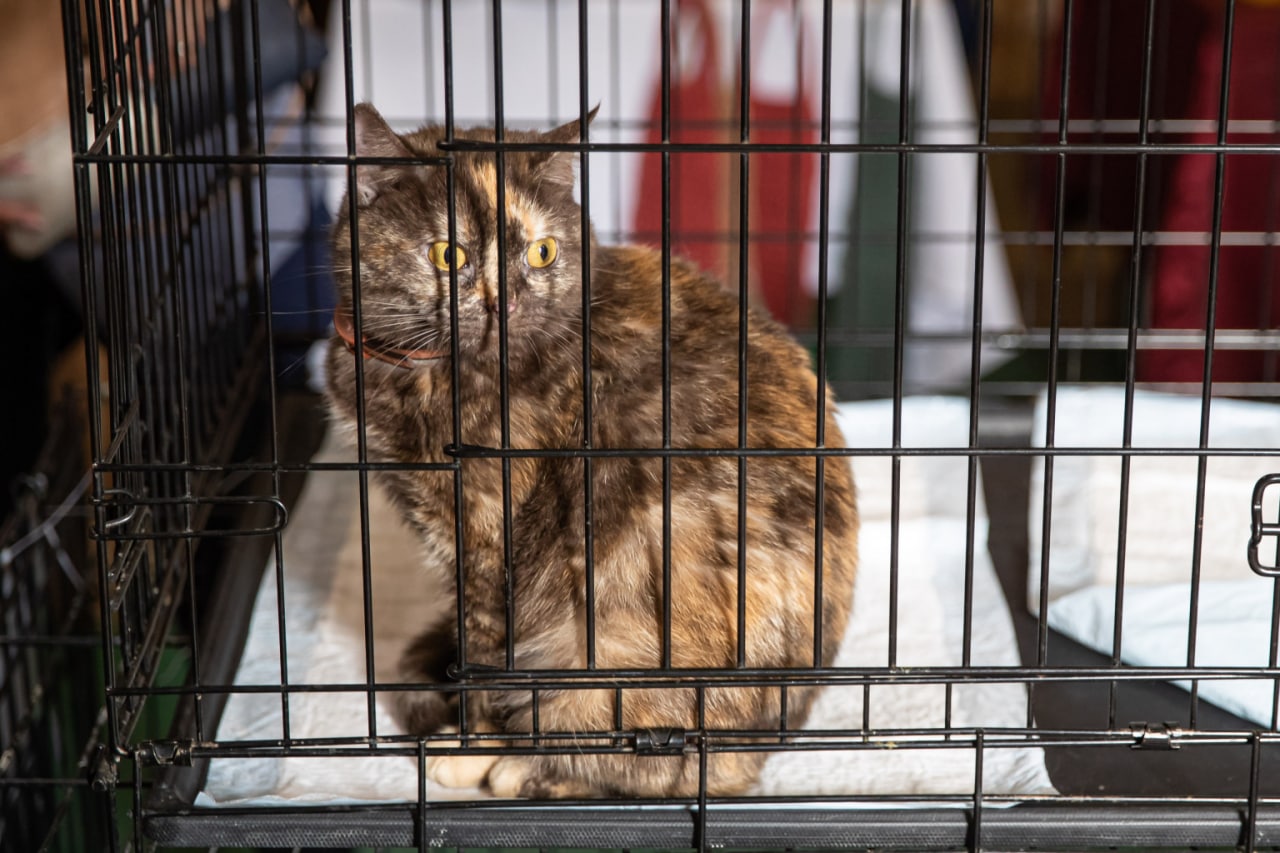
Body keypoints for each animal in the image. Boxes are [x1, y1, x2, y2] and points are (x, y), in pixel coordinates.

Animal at [324, 102, 858, 798]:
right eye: (448, 254)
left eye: (543, 251)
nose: (507, 300)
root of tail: (773, 738)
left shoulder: (487, 543)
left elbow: (485, 656)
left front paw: (474, 743)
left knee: (650, 768)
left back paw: (527, 767)